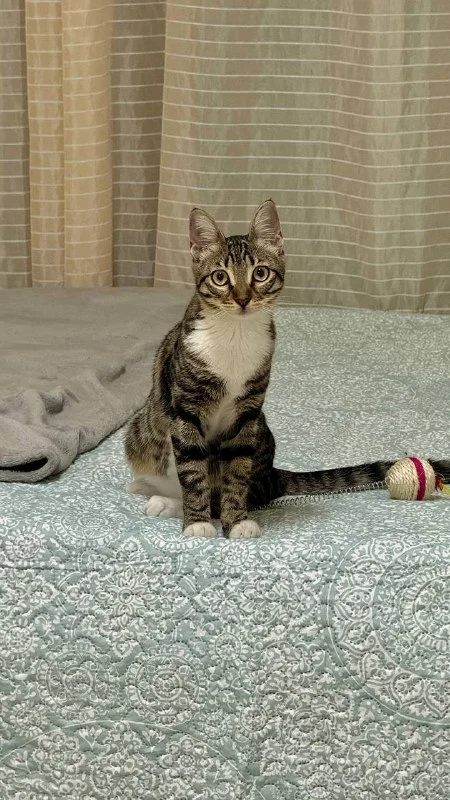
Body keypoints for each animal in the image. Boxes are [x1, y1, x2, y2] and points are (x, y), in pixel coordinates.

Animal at [125, 199, 449, 538]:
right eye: (220, 277)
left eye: (260, 273)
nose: (243, 298)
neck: (235, 335)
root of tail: (272, 475)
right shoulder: (186, 408)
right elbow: (191, 468)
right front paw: (197, 522)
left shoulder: (248, 413)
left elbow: (235, 472)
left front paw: (236, 521)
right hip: (141, 431)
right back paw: (157, 495)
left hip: (259, 433)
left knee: (248, 488)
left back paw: (169, 502)